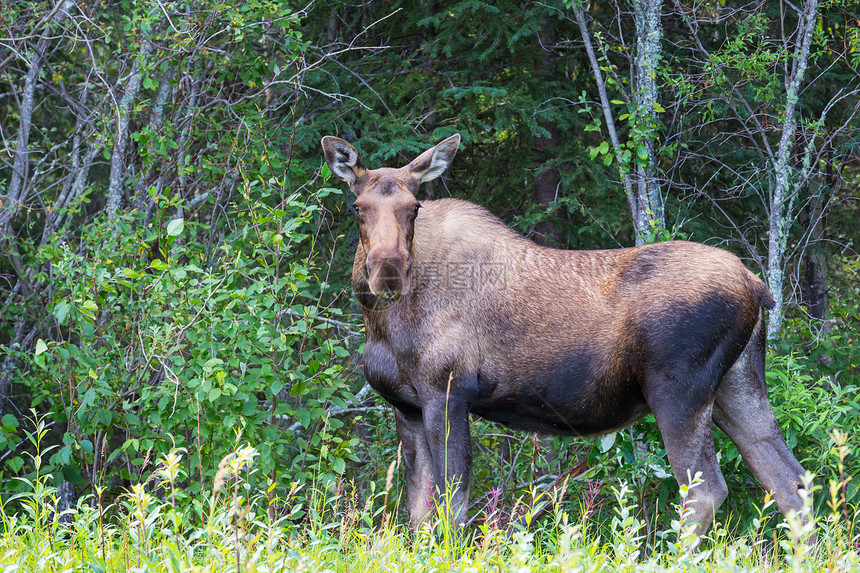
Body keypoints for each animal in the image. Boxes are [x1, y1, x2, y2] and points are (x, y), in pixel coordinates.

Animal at [320, 133, 808, 536]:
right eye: (358, 207)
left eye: (414, 207)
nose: (387, 270)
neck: (383, 322)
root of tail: (756, 287)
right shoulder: (406, 405)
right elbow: (419, 513)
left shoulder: (447, 393)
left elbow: (452, 507)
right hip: (736, 384)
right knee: (791, 482)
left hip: (679, 392)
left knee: (705, 493)